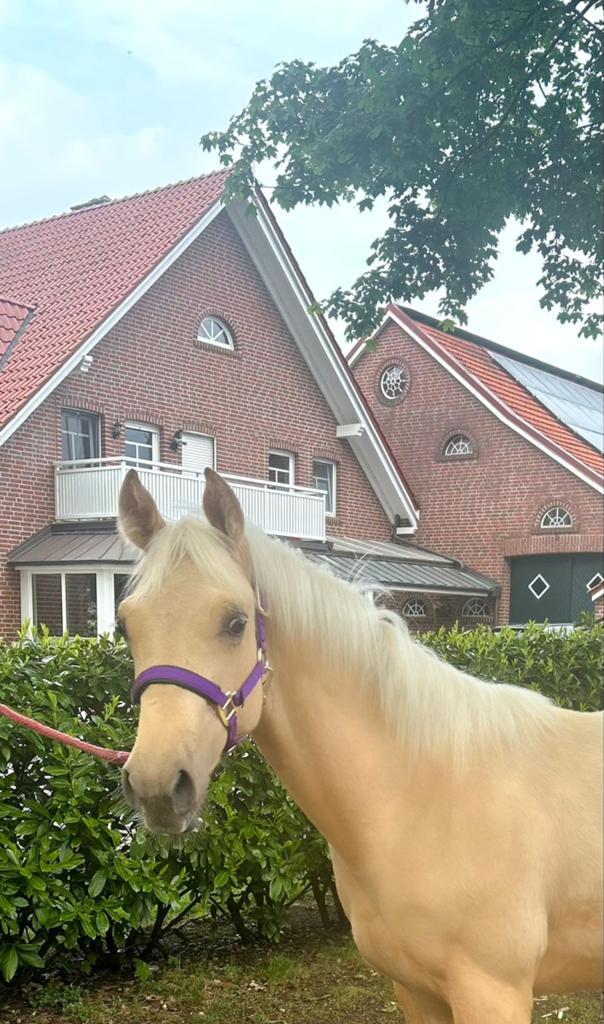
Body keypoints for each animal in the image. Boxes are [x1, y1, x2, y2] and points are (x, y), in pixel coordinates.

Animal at [117, 468, 603, 1023]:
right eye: (125, 625)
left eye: (236, 622)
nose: (156, 784)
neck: (426, 798)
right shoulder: (416, 991)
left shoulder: (494, 992)